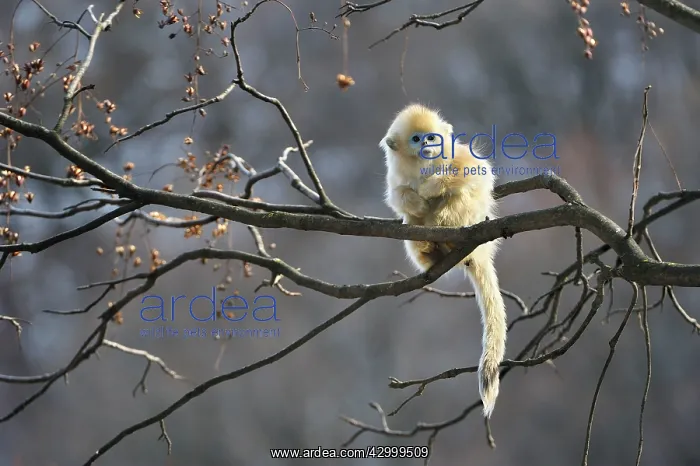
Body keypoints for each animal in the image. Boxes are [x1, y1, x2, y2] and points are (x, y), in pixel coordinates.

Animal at [379, 103, 507, 418]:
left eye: (432, 137)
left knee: (461, 194)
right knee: (410, 221)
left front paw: (430, 188)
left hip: (471, 219)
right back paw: (428, 247)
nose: (428, 144)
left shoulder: (457, 155)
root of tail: (479, 253)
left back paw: (446, 230)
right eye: (416, 139)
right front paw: (414, 199)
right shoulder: (396, 175)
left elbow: (476, 171)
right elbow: (398, 197)